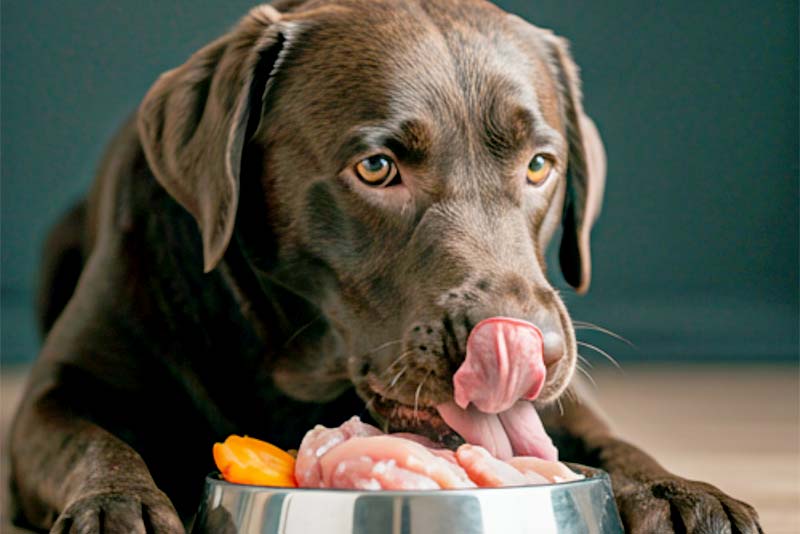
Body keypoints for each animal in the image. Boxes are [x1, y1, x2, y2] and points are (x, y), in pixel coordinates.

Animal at [7, 2, 764, 532]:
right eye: (376, 168)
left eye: (539, 166)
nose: (534, 351)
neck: (295, 368)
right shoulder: (54, 395)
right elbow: (91, 444)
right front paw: (119, 503)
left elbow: (612, 443)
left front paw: (677, 490)